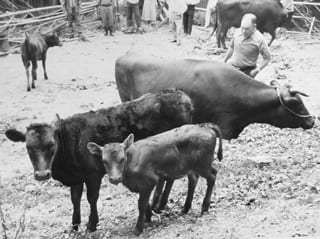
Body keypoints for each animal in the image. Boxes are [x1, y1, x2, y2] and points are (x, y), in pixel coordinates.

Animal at [5, 89, 194, 232]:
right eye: (28, 147)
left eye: (52, 145)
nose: (42, 174)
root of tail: (181, 95)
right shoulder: (77, 176)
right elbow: (75, 199)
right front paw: (74, 225)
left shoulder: (92, 174)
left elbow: (91, 198)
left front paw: (91, 224)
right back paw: (157, 204)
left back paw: (160, 205)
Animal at [86, 123, 224, 235]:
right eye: (104, 161)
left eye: (122, 159)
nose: (115, 178)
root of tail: (204, 126)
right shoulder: (142, 185)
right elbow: (145, 203)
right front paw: (148, 218)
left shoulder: (149, 181)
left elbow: (141, 204)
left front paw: (139, 228)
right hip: (190, 167)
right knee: (193, 179)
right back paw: (185, 208)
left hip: (203, 164)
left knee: (212, 175)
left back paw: (204, 207)